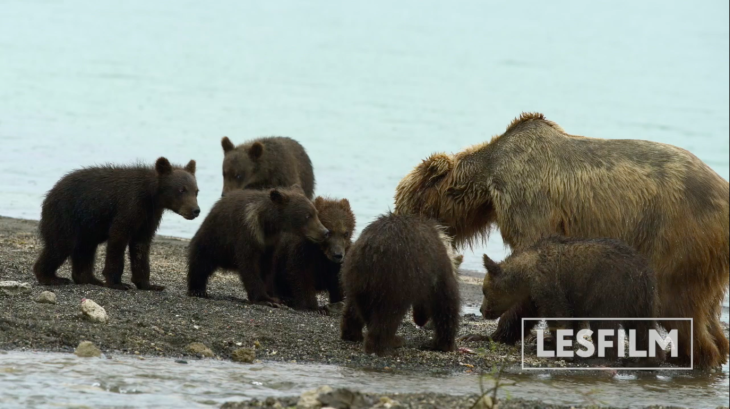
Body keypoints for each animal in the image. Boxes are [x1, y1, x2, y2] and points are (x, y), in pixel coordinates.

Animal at [392, 113, 728, 368]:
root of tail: (723, 190)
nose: (397, 224)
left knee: (676, 303)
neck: (489, 180)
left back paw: (686, 357)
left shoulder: (529, 203)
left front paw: (490, 333)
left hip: (678, 237)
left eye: (405, 202)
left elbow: (528, 266)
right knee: (706, 311)